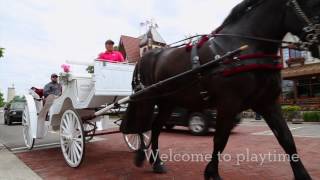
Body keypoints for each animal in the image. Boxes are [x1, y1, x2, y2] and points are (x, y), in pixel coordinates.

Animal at [120, 0, 320, 179]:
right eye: (313, 4)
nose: (317, 46)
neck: (243, 48)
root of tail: (145, 56)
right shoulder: (228, 104)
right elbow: (220, 139)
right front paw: (212, 173)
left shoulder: (268, 103)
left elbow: (286, 139)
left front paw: (302, 175)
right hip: (146, 99)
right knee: (142, 125)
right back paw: (141, 156)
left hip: (167, 102)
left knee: (154, 128)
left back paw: (157, 163)